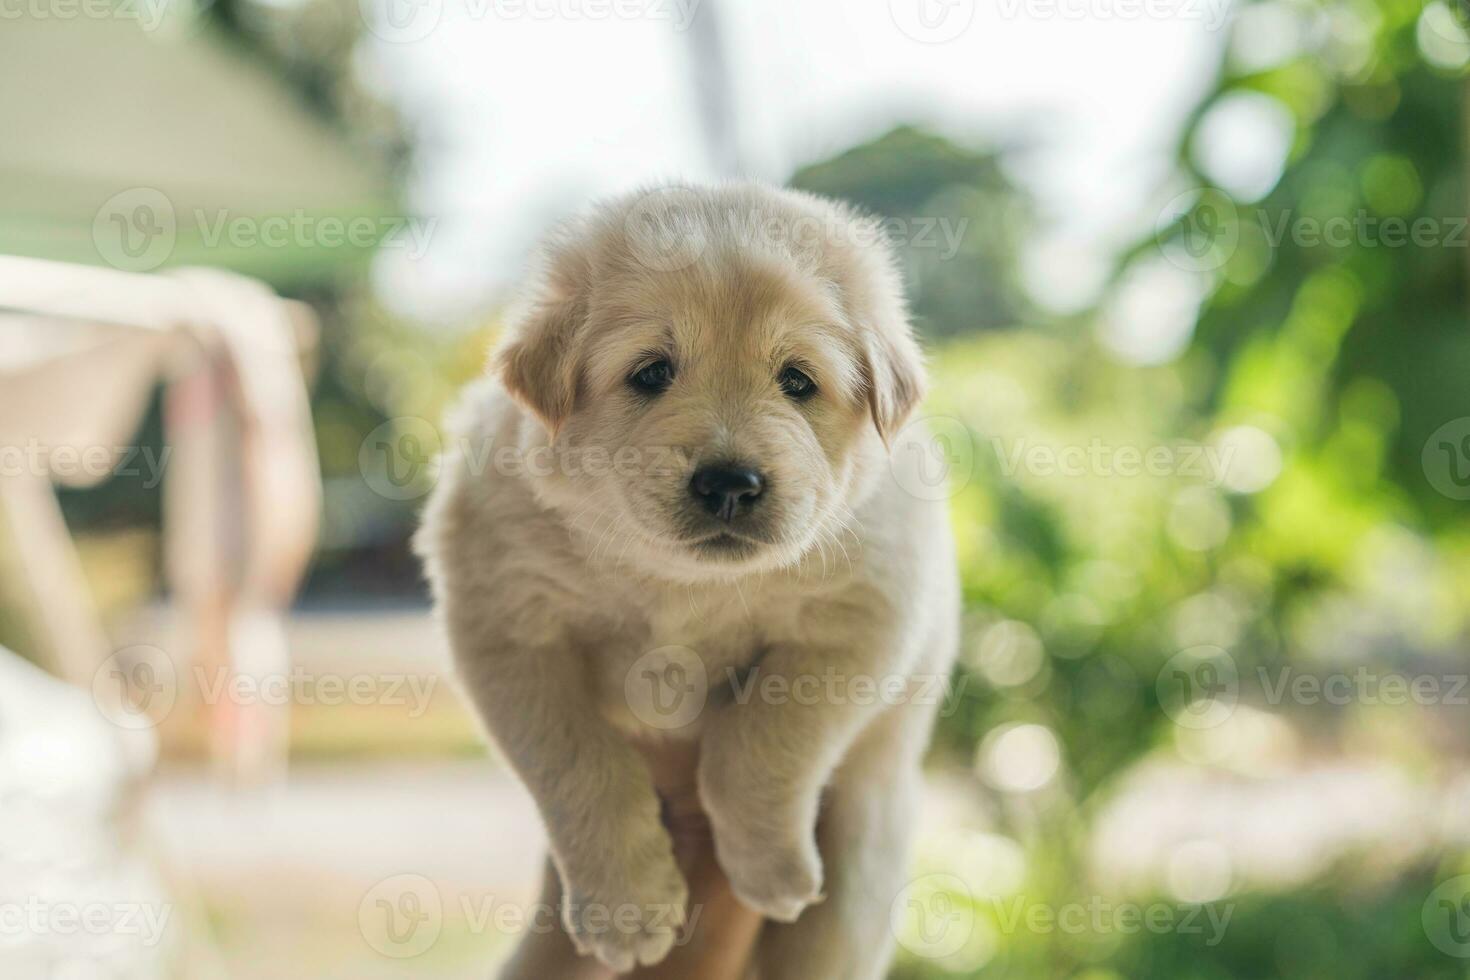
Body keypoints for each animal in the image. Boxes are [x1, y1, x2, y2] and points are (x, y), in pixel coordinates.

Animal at [417, 183, 964, 980]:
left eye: (797, 380)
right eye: (651, 372)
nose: (730, 484)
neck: (680, 581)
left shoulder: (865, 616)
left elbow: (764, 740)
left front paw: (770, 867)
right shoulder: (506, 625)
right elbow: (579, 763)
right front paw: (628, 907)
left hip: (865, 861)